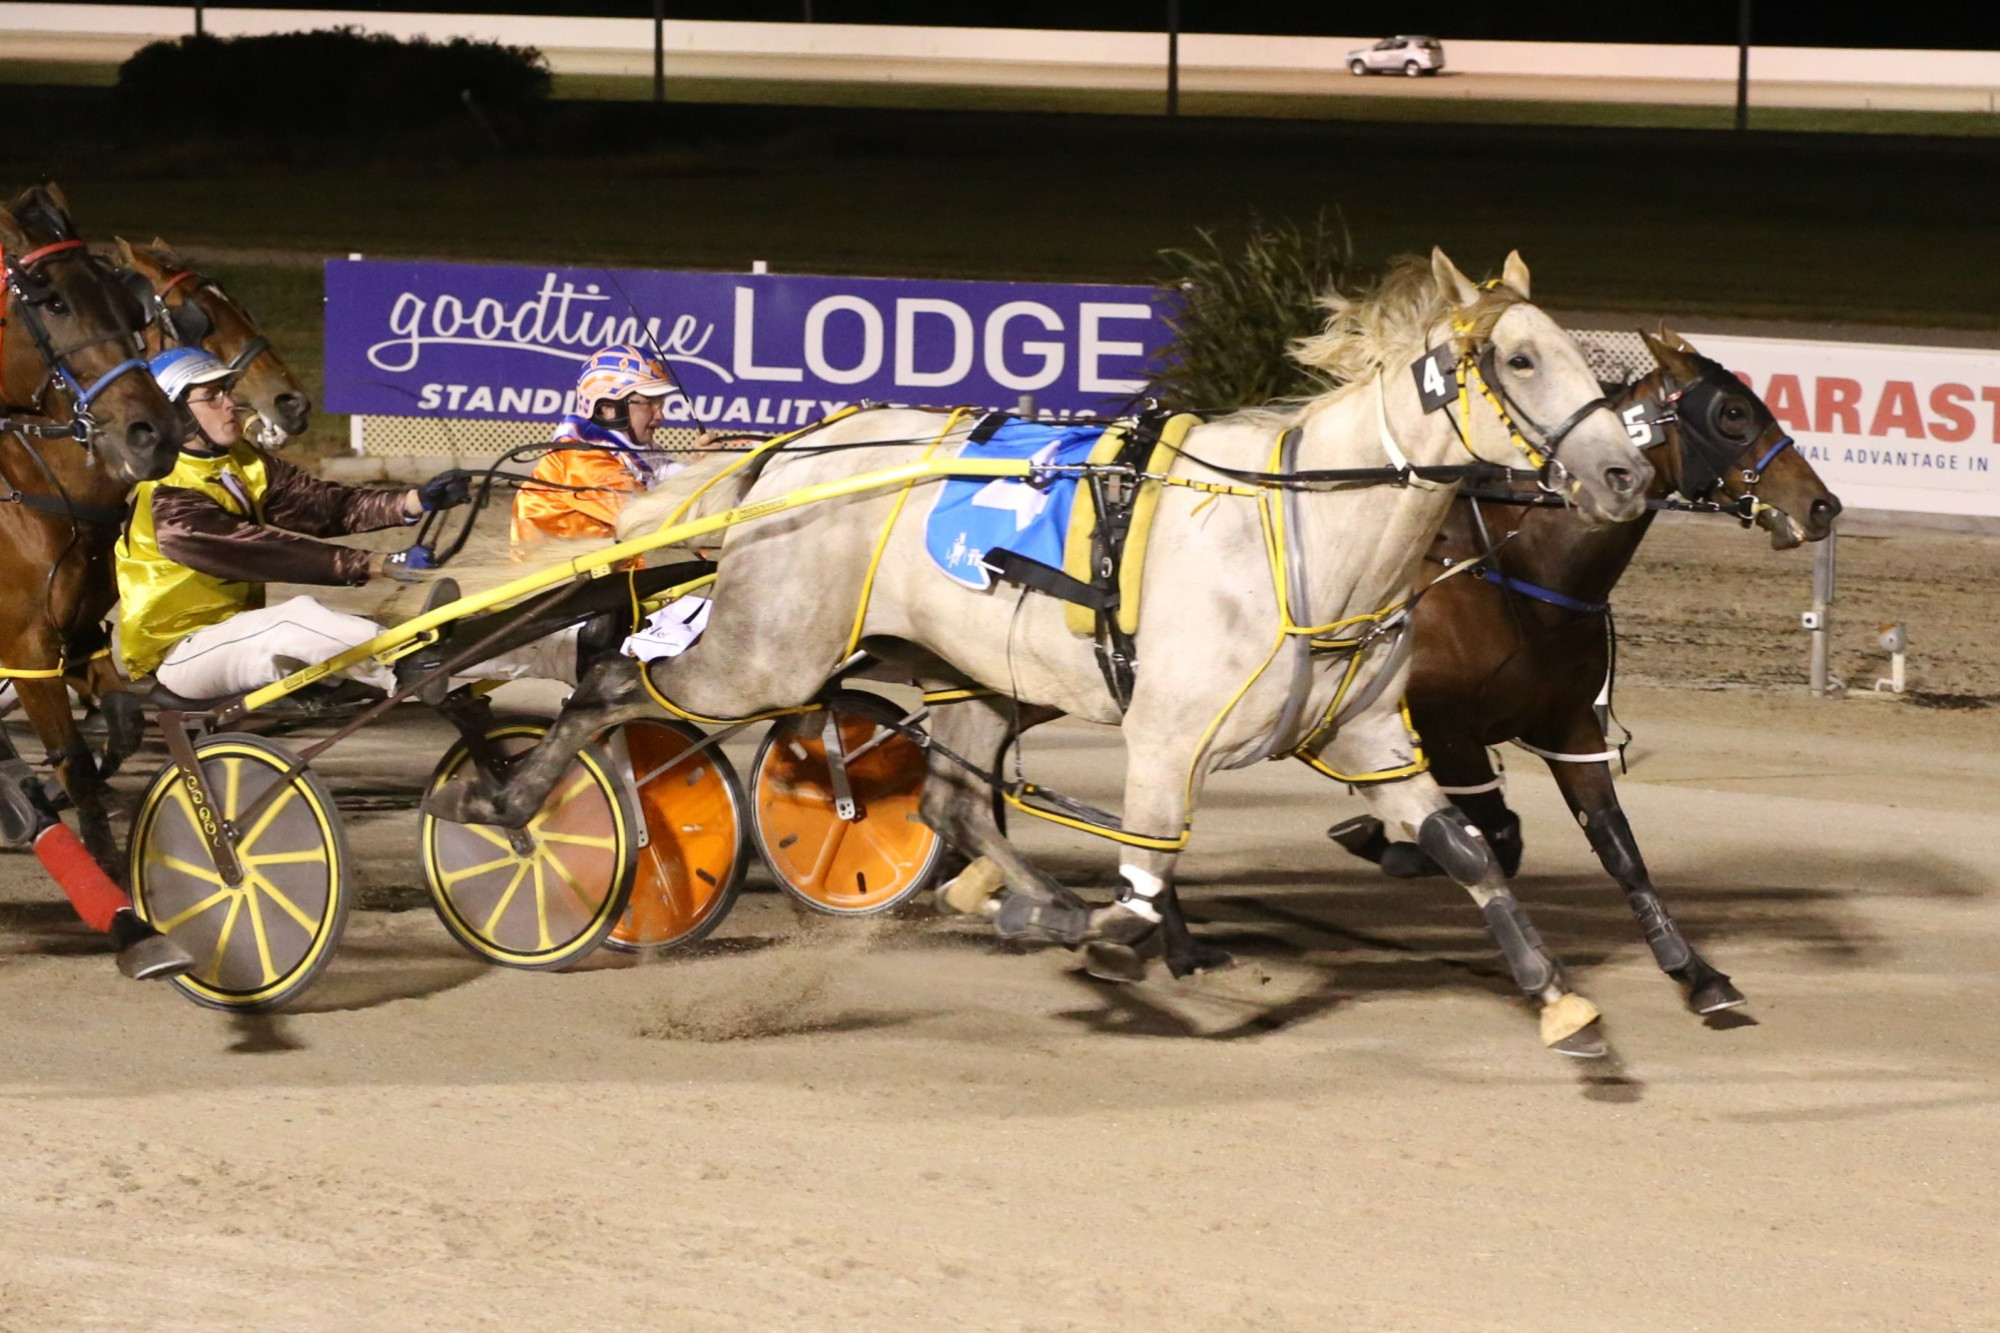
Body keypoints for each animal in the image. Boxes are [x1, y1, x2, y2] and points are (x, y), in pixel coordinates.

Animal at [1328, 326, 1840, 1012]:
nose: (1822, 505)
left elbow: (1616, 845)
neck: (1518, 573)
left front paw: (1693, 968)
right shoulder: (1446, 727)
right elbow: (1497, 834)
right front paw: (1393, 846)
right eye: (1732, 413)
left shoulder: (1570, 725)